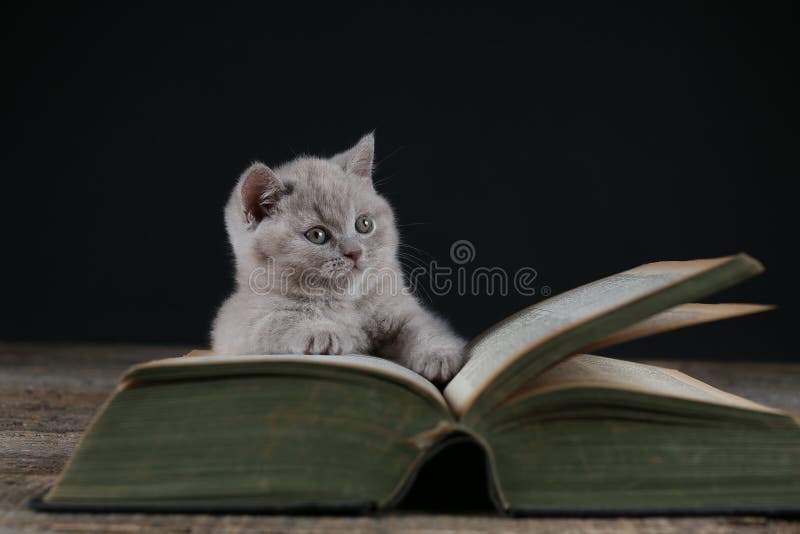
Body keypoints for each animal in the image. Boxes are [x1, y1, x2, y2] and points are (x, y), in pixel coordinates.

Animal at [211, 135, 468, 386]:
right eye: (317, 235)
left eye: (364, 224)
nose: (354, 252)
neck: (344, 302)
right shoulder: (235, 322)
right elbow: (277, 319)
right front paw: (321, 332)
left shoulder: (400, 309)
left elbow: (422, 326)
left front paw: (438, 354)